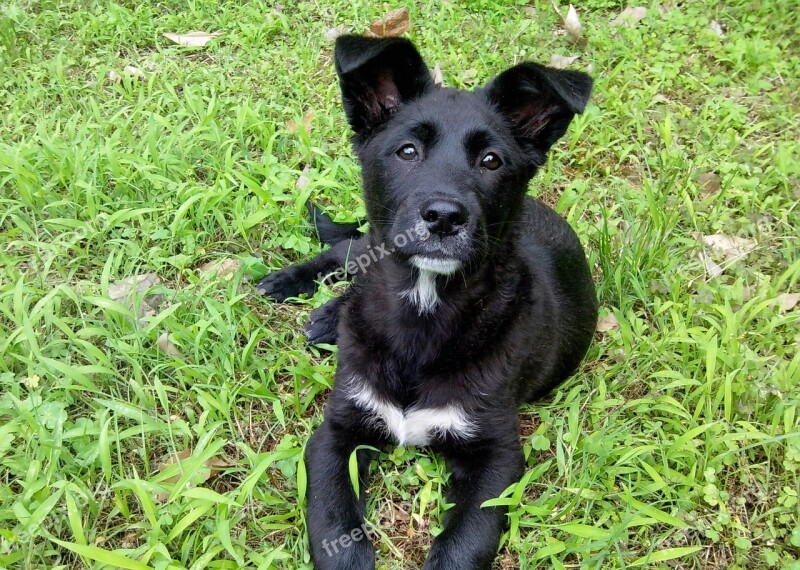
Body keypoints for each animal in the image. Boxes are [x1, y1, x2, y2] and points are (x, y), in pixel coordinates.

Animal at [260, 36, 596, 568]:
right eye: (407, 151)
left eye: (492, 161)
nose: (443, 216)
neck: (424, 307)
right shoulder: (335, 432)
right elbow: (333, 521)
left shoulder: (497, 455)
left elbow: (464, 543)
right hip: (372, 243)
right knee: (348, 249)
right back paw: (297, 289)